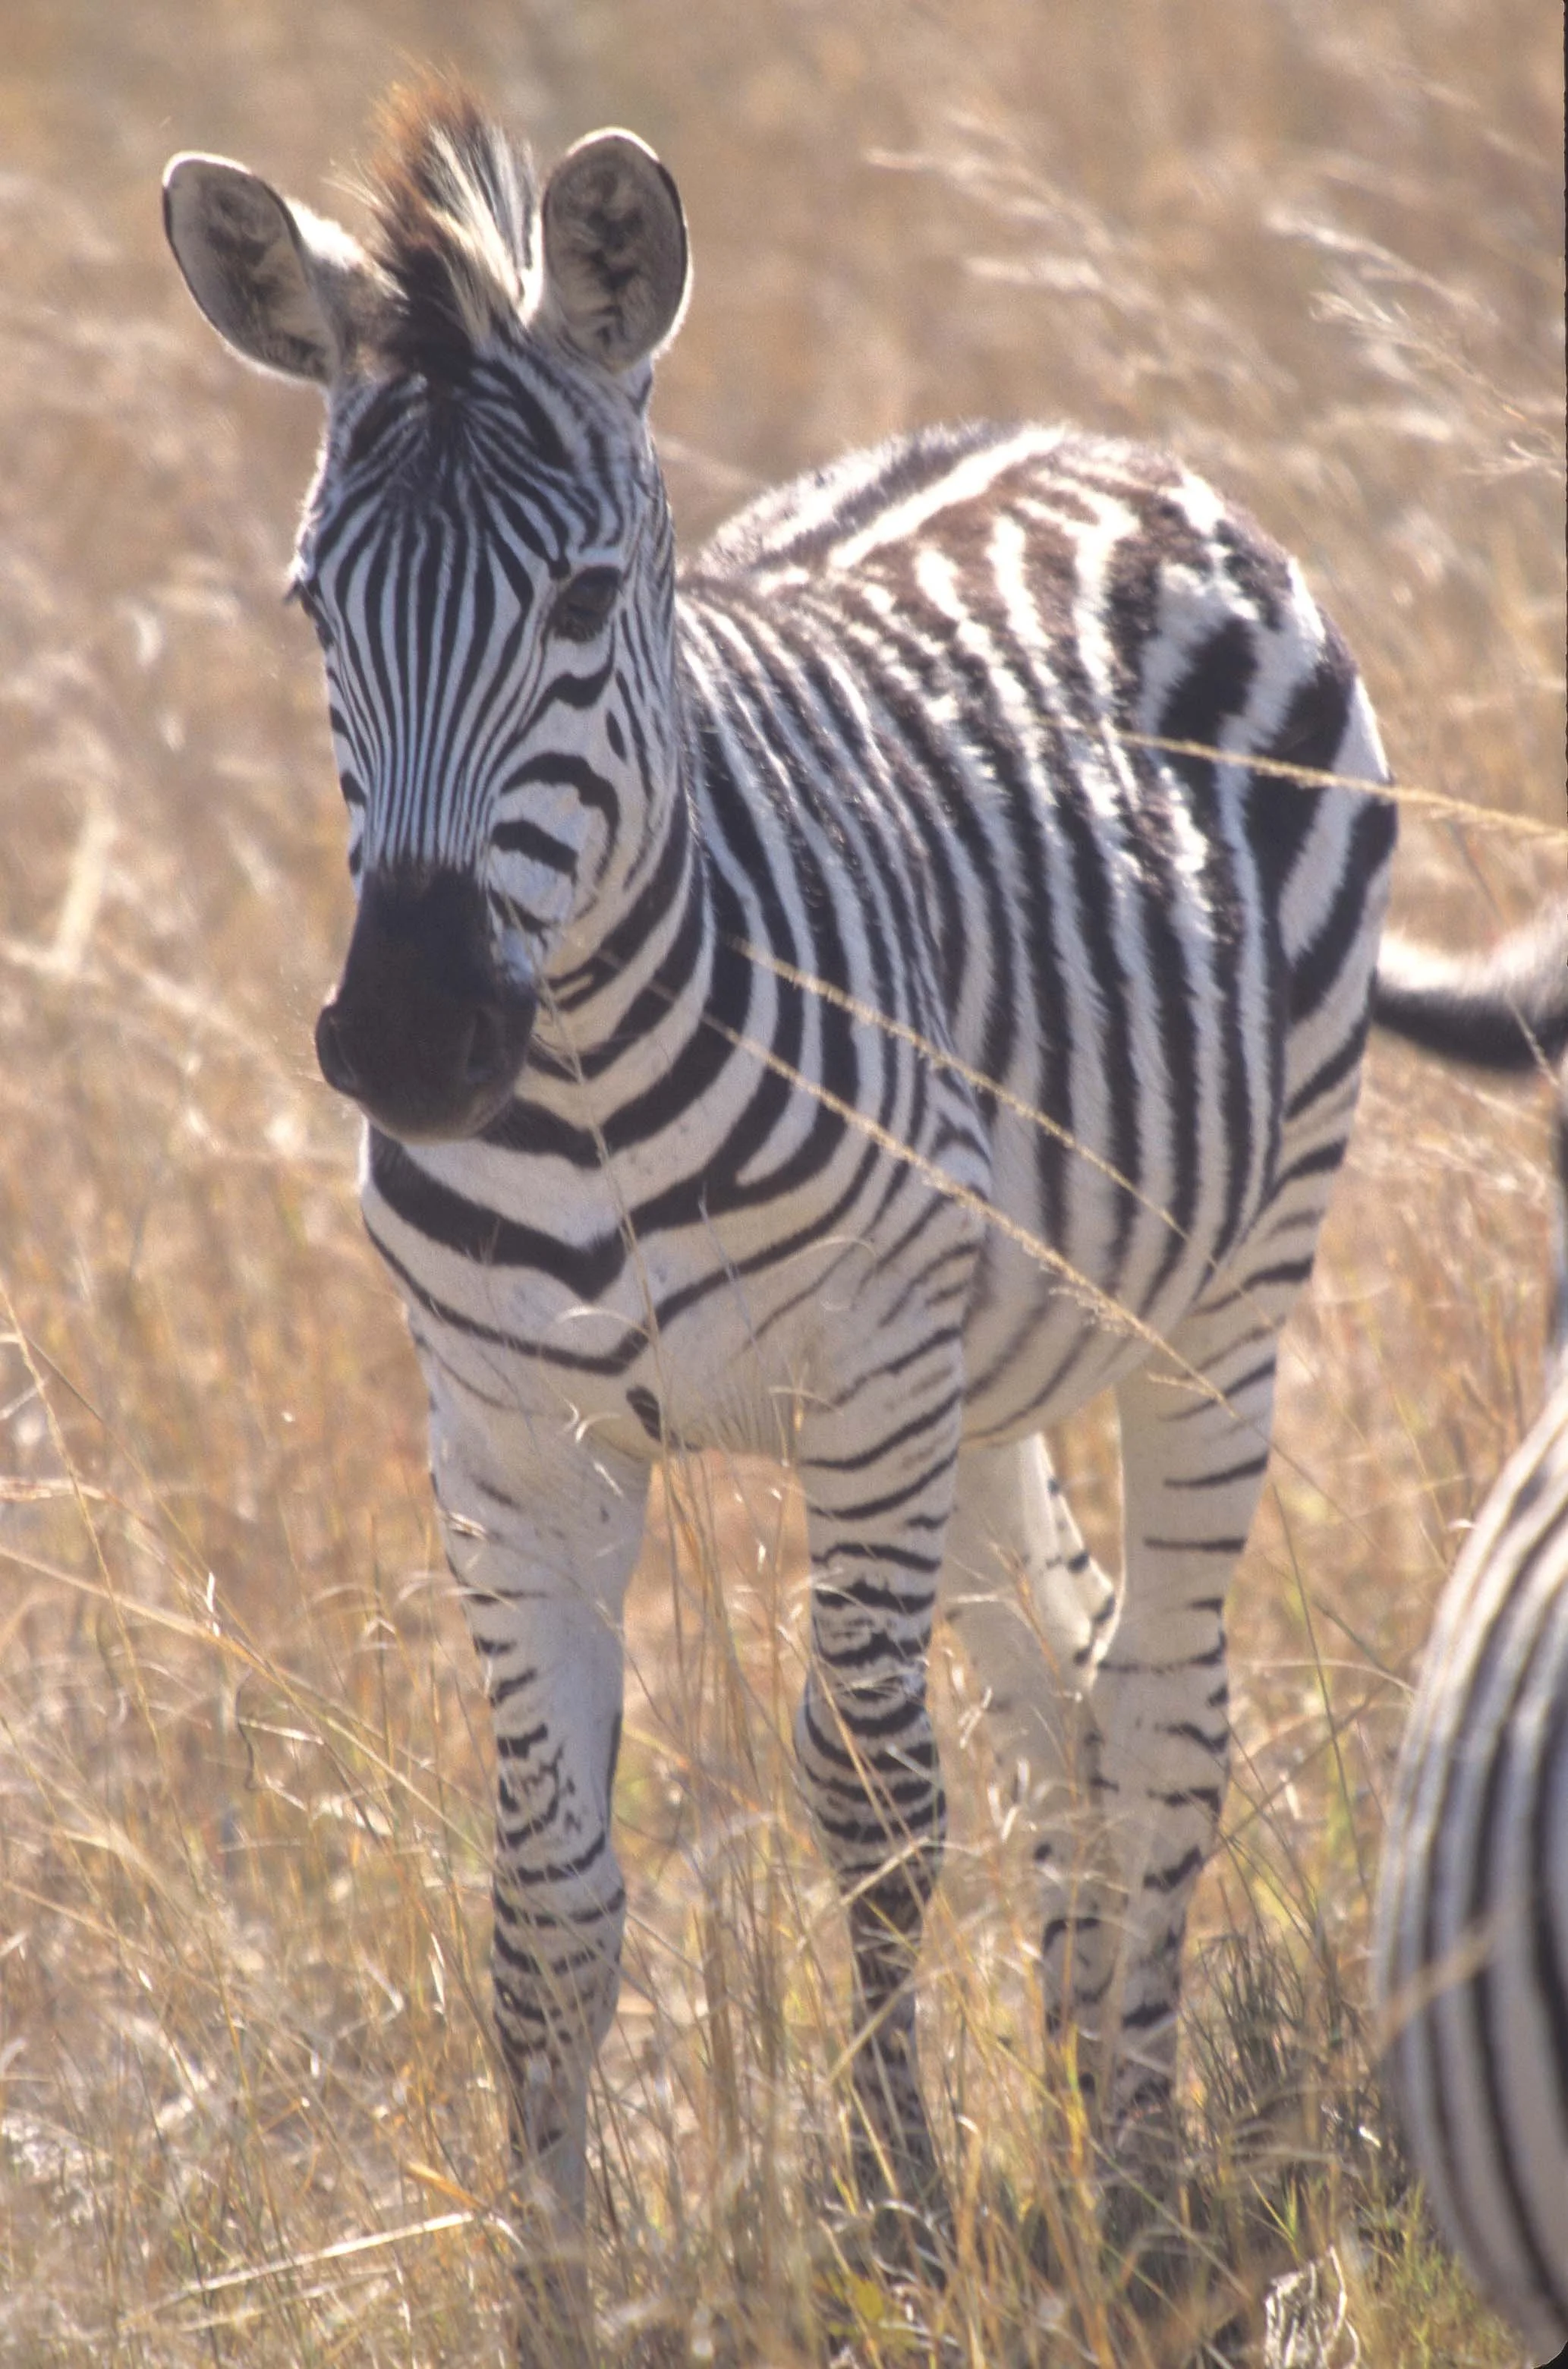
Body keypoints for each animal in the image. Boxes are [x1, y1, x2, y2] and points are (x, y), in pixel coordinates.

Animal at [161, 84, 1568, 2347]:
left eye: (581, 601)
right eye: (310, 607)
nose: (412, 1041)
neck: (589, 1076)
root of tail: (1085, 429)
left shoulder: (868, 1366)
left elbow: (875, 1800)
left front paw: (901, 2227)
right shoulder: (511, 1435)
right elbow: (546, 1892)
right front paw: (557, 2291)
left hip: (1210, 1317)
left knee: (1156, 1721)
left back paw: (1143, 2175)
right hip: (985, 1383)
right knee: (1064, 1704)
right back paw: (1085, 2110)